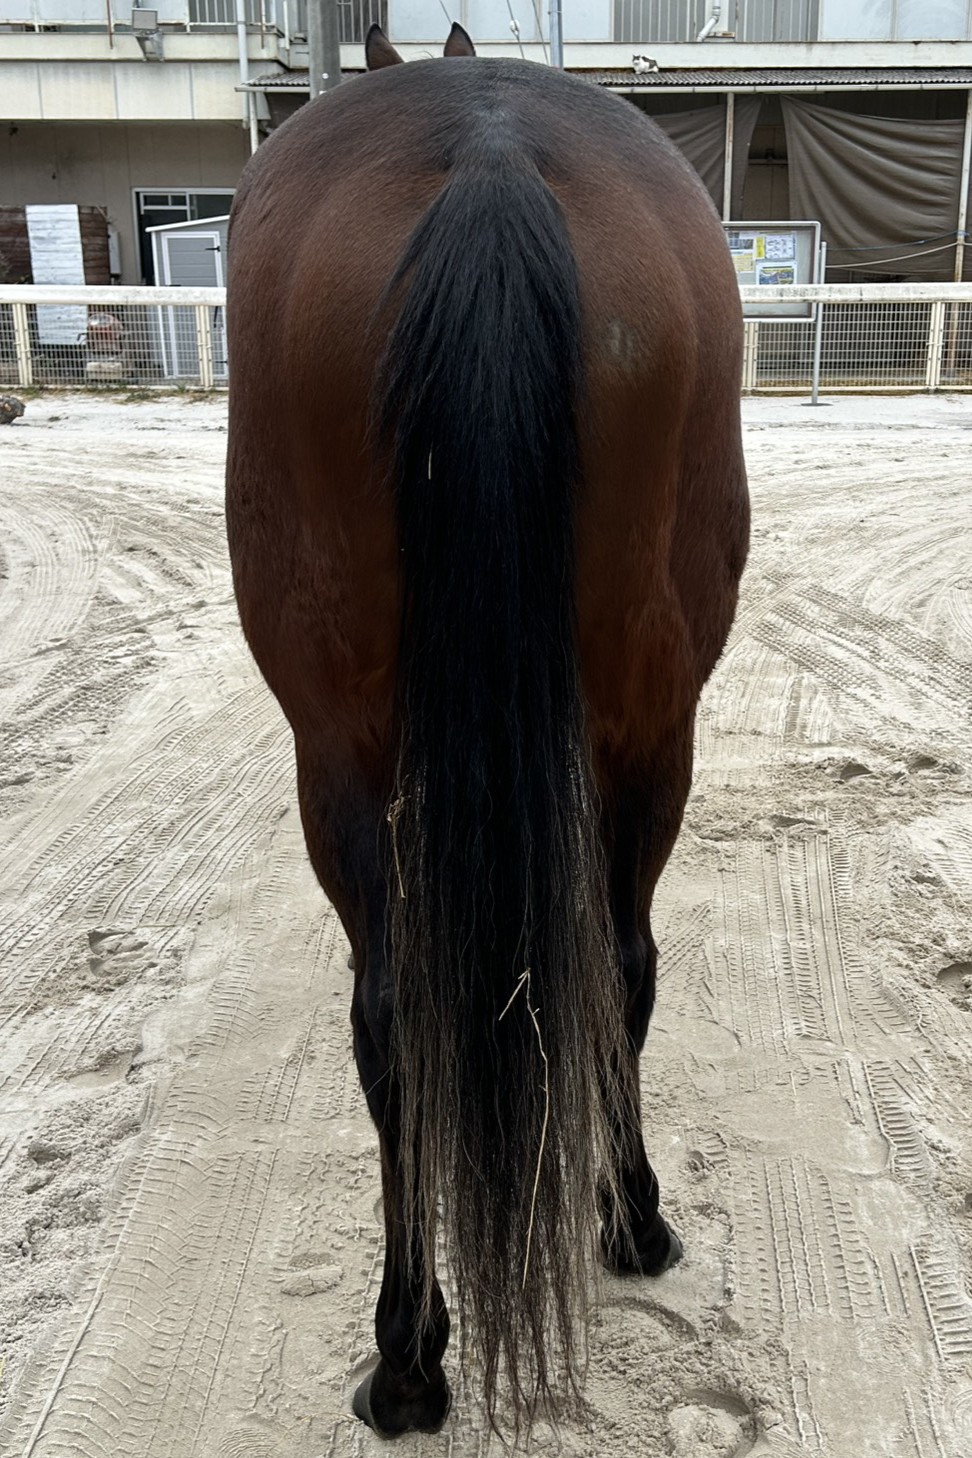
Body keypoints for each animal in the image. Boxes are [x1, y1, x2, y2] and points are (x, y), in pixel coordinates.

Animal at [225, 24, 748, 1439]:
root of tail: (491, 154)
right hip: (646, 728)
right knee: (611, 964)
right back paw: (606, 1236)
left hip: (348, 751)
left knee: (408, 1013)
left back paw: (419, 1350)